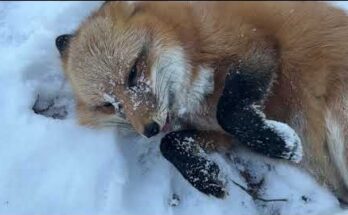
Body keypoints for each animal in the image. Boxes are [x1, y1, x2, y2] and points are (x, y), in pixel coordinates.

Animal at [55, 0, 348, 202]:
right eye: (107, 105)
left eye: (133, 72)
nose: (149, 129)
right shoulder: (221, 136)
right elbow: (170, 143)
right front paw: (205, 177)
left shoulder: (254, 45)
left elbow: (228, 112)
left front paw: (280, 143)